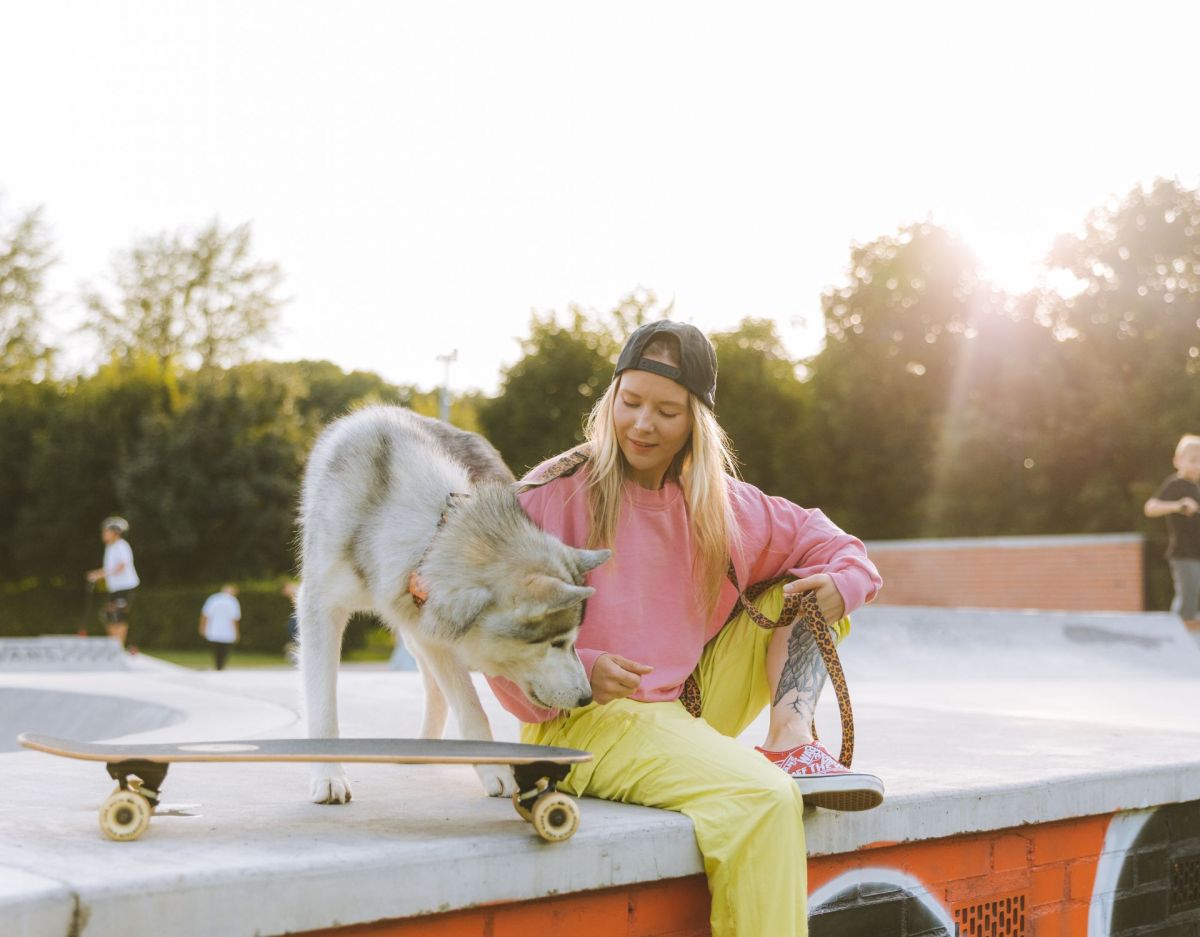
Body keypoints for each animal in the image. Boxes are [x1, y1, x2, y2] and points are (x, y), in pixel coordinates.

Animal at [295, 405, 604, 801]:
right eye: (557, 643)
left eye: (572, 642)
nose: (586, 697)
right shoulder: (321, 609)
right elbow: (323, 706)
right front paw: (328, 776)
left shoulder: (433, 625)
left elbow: (470, 705)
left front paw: (495, 770)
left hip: (421, 628)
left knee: (437, 688)